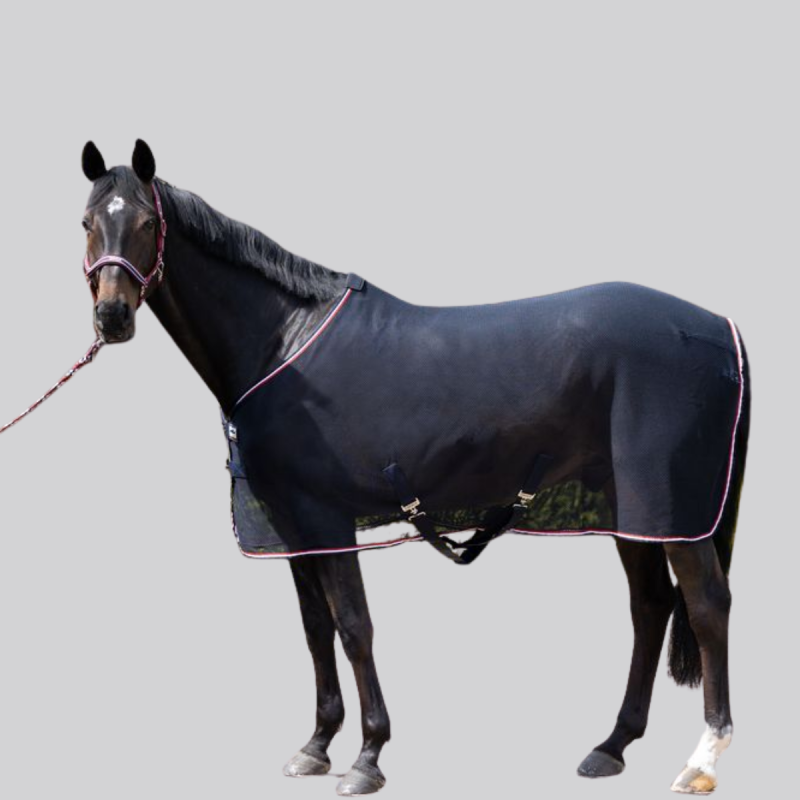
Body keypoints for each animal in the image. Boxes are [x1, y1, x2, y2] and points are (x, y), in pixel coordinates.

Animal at [79, 139, 750, 796]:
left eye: (146, 222)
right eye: (87, 222)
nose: (112, 317)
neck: (282, 343)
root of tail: (721, 329)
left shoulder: (327, 520)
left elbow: (354, 626)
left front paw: (368, 757)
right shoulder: (293, 526)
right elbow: (315, 628)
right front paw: (316, 745)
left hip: (668, 507)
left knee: (707, 605)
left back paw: (702, 760)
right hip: (630, 513)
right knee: (650, 607)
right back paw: (611, 747)